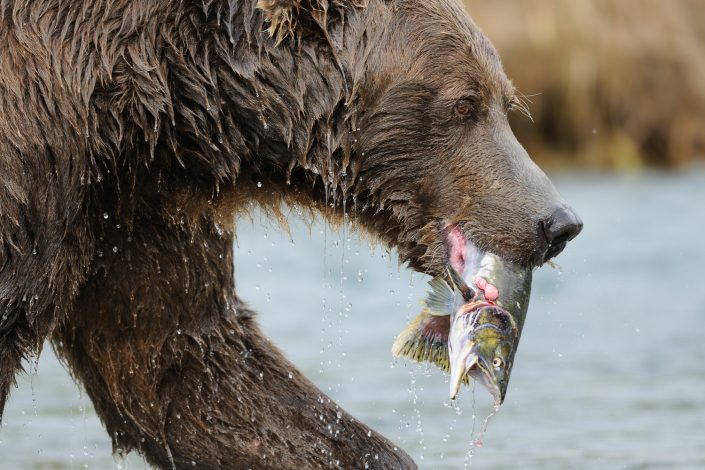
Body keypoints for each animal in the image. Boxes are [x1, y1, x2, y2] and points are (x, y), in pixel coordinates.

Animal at [0, 0, 580, 466]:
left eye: (505, 101)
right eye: (464, 103)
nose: (558, 223)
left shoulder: (132, 207)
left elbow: (185, 363)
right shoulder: (40, 163)